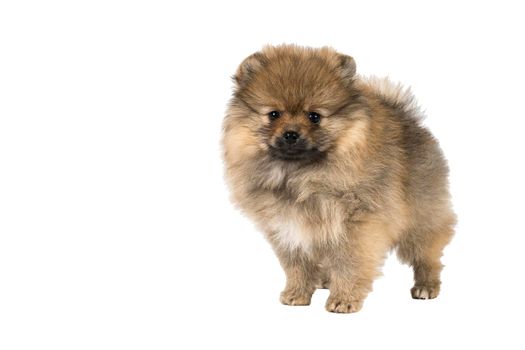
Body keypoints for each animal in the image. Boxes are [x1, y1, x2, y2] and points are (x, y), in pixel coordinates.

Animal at [221, 44, 454, 314]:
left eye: (314, 116)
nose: (291, 134)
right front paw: (297, 293)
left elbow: (349, 262)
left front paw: (344, 298)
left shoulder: (356, 225)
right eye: (274, 114)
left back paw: (426, 286)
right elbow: (297, 265)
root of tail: (409, 120)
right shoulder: (286, 226)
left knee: (427, 253)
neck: (301, 176)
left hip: (420, 216)